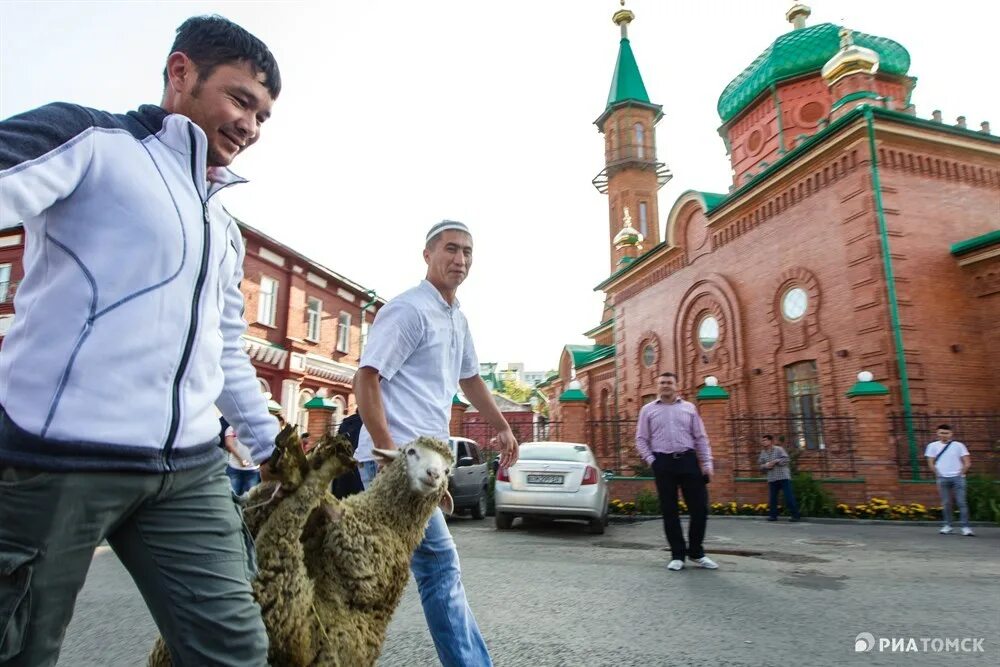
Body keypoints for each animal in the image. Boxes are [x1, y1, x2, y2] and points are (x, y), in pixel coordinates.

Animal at [148, 428, 454, 667]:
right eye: (411, 452)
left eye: (448, 469)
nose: (434, 474)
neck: (385, 519)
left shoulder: (367, 556)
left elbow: (341, 531)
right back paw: (308, 458)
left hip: (284, 597)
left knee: (299, 504)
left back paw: (319, 463)